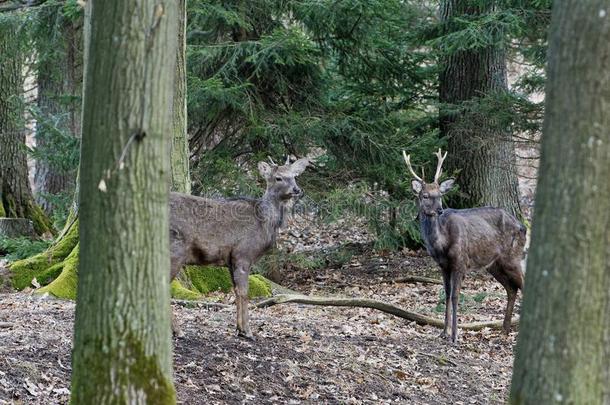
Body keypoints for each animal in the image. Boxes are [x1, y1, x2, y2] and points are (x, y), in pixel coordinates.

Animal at [167, 156, 306, 336]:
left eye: (294, 176)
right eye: (278, 178)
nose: (296, 189)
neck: (265, 223)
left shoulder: (230, 259)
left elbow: (236, 292)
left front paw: (239, 328)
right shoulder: (243, 253)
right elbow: (244, 292)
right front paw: (247, 330)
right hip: (175, 250)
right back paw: (177, 330)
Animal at [402, 150, 524, 342]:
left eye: (440, 195)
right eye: (425, 195)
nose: (439, 210)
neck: (441, 244)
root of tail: (523, 226)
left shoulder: (460, 261)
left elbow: (455, 296)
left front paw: (455, 336)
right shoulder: (443, 266)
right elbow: (445, 294)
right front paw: (443, 332)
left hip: (513, 257)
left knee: (523, 285)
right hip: (494, 264)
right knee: (511, 289)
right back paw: (504, 330)